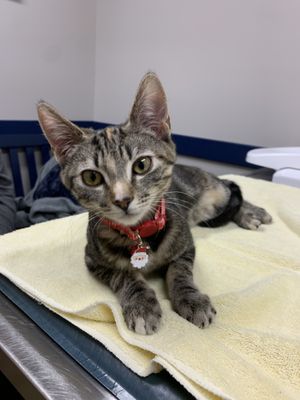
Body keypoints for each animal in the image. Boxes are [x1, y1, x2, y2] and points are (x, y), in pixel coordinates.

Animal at [37, 72, 272, 334]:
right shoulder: (92, 259)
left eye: (142, 165)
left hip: (215, 193)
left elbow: (180, 272)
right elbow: (123, 275)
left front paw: (191, 299)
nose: (122, 200)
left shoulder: (186, 246)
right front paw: (141, 304)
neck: (140, 234)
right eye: (91, 177)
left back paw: (251, 212)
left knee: (231, 188)